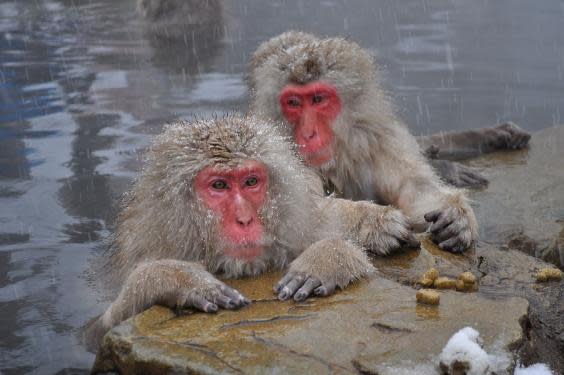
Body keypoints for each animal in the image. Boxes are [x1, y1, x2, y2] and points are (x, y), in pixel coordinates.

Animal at [83, 114, 420, 350]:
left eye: (251, 182)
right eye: (219, 185)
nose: (244, 219)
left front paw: (334, 253)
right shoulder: (141, 245)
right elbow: (95, 331)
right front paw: (178, 279)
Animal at [249, 32, 492, 254]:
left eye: (318, 99)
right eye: (293, 102)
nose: (309, 133)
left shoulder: (378, 139)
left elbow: (414, 185)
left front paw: (456, 216)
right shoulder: (278, 155)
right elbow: (294, 213)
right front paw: (374, 221)